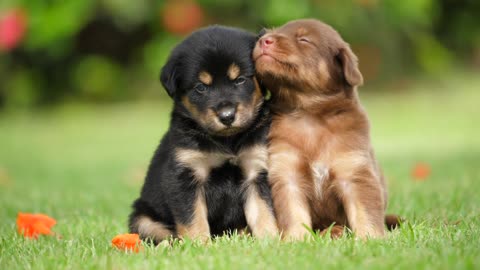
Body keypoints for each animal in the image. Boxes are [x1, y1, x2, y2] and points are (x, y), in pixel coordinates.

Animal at [128, 26, 278, 244]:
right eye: (200, 87)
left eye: (240, 80)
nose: (227, 116)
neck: (227, 141)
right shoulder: (185, 176)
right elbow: (193, 218)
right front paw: (199, 244)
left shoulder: (256, 171)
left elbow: (264, 212)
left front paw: (270, 241)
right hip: (143, 218)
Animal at [251, 17, 390, 239]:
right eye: (270, 32)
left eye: (304, 39)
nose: (264, 40)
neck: (309, 114)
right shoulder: (287, 173)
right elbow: (293, 213)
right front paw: (296, 239)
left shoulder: (354, 171)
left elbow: (365, 212)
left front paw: (370, 239)